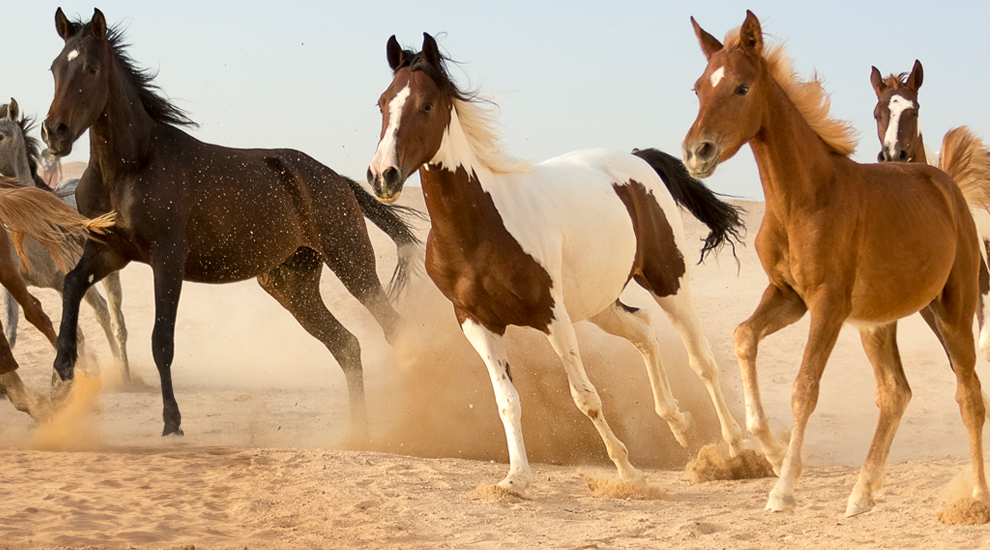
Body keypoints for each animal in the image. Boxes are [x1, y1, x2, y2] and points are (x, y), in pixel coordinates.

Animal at [40, 8, 420, 438]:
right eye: (55, 67)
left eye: (90, 68)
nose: (54, 133)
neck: (129, 167)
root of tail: (339, 180)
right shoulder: (108, 252)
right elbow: (72, 284)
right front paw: (62, 372)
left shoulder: (167, 259)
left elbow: (161, 341)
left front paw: (172, 421)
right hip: (290, 284)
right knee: (348, 345)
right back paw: (361, 431)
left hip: (353, 263)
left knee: (392, 329)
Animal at [368, 35, 748, 500]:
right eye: (382, 103)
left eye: (425, 105)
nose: (382, 176)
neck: (480, 227)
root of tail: (639, 159)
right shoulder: (477, 322)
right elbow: (508, 402)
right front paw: (515, 478)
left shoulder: (552, 317)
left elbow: (585, 397)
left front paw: (627, 472)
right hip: (599, 303)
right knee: (644, 331)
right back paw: (679, 425)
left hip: (667, 281)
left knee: (702, 359)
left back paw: (735, 450)